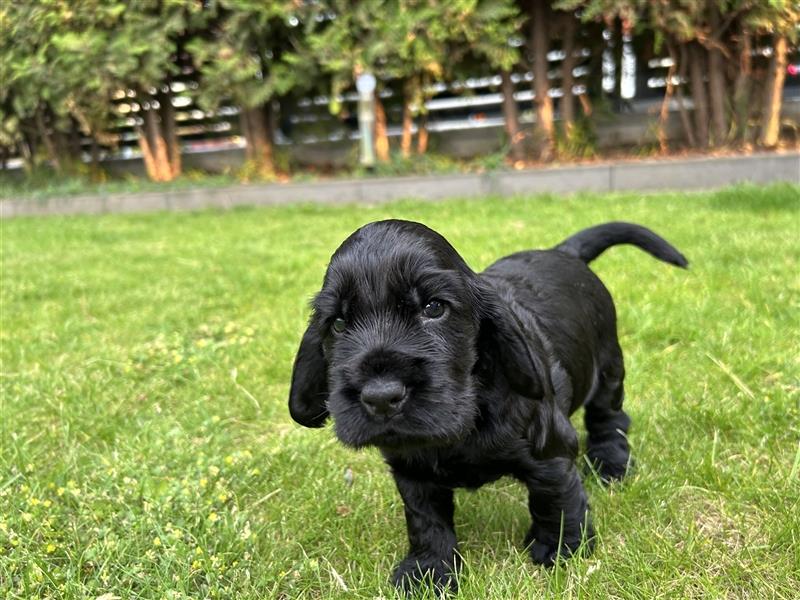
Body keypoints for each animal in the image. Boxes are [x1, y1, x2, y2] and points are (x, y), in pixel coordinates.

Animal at [288, 220, 688, 592]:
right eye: (339, 323)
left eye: (434, 307)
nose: (380, 397)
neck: (468, 412)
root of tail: (562, 252)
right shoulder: (412, 471)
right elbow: (426, 520)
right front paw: (428, 570)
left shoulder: (549, 450)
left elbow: (555, 496)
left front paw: (562, 548)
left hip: (607, 369)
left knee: (609, 417)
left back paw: (610, 464)